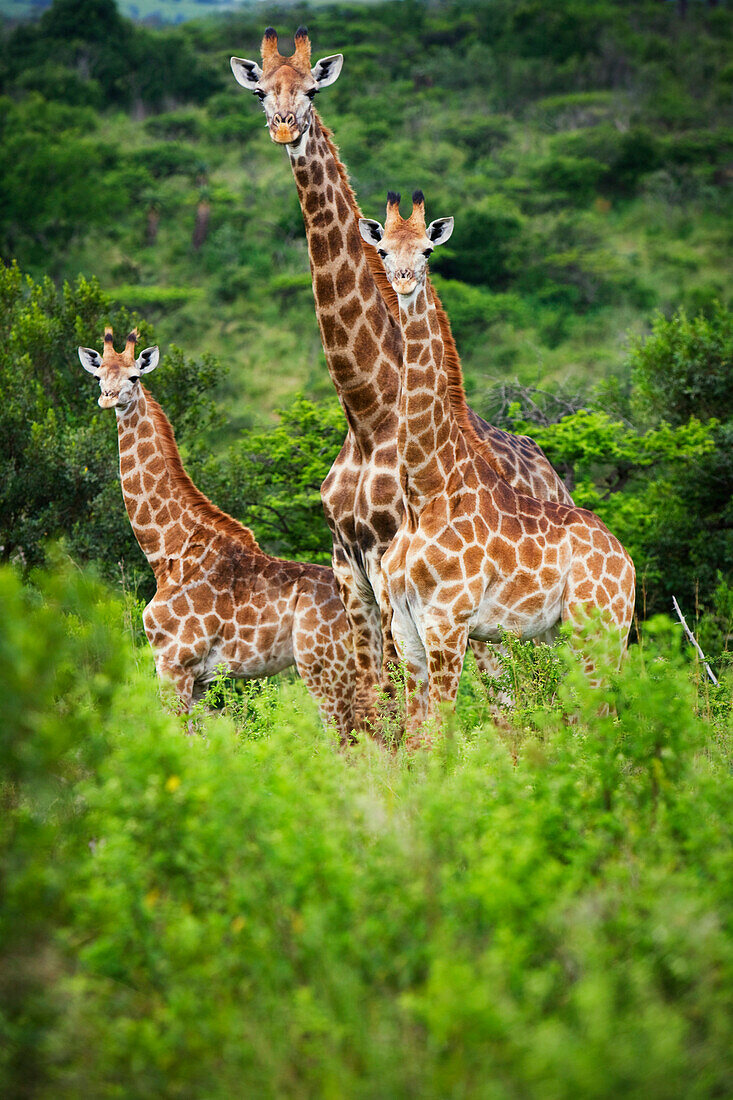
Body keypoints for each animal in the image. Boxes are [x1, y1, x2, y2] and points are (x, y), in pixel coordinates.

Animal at [75, 325, 354, 739]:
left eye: (135, 376)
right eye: (98, 376)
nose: (107, 399)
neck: (167, 551)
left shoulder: (174, 662)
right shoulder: (202, 680)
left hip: (325, 667)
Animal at [228, 25, 572, 726]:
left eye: (311, 90)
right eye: (261, 91)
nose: (284, 128)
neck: (366, 409)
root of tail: (555, 478)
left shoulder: (391, 561)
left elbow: (393, 699)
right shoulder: (348, 565)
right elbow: (371, 697)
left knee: (520, 694)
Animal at [358, 195, 633, 748]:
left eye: (427, 250)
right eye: (382, 248)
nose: (403, 280)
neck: (423, 495)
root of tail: (629, 562)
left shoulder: (448, 622)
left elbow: (442, 732)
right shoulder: (404, 628)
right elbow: (416, 737)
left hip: (599, 626)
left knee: (601, 717)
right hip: (561, 632)